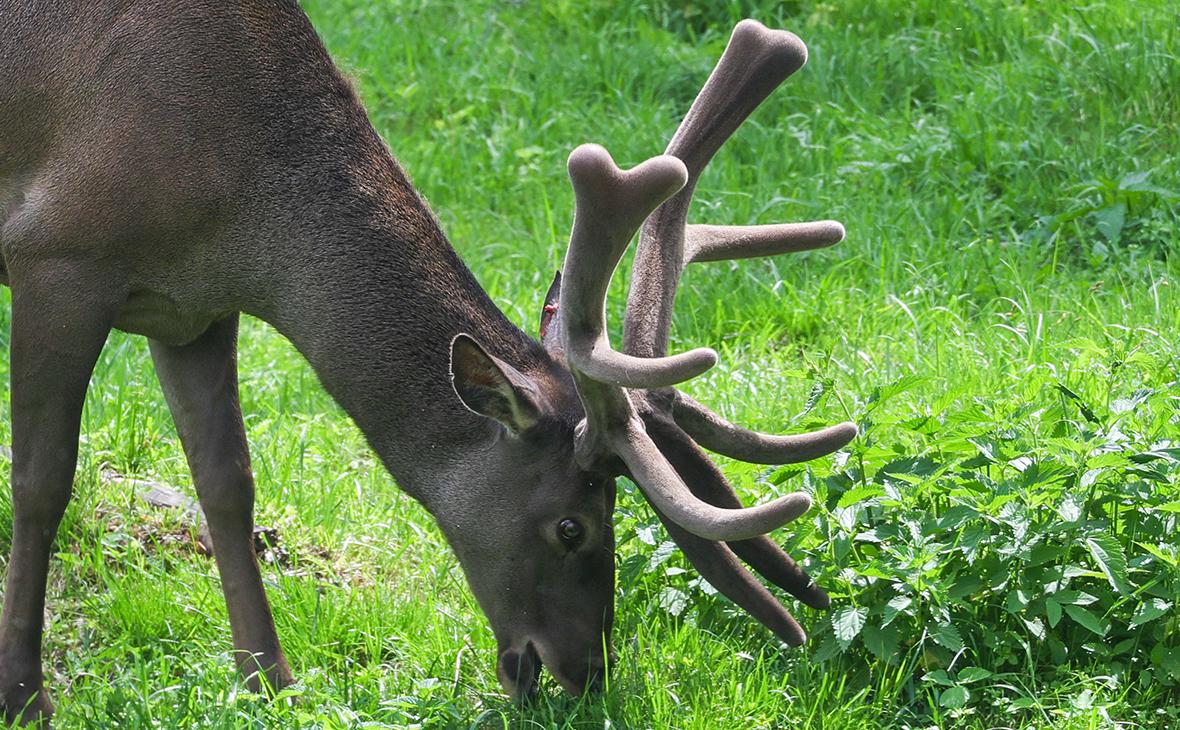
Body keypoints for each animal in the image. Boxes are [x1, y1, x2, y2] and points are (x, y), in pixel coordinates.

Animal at [0, 2, 856, 723]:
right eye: (572, 526)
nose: (589, 675)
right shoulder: (56, 256)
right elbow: (41, 485)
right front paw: (25, 698)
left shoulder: (191, 310)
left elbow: (228, 484)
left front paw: (271, 682)